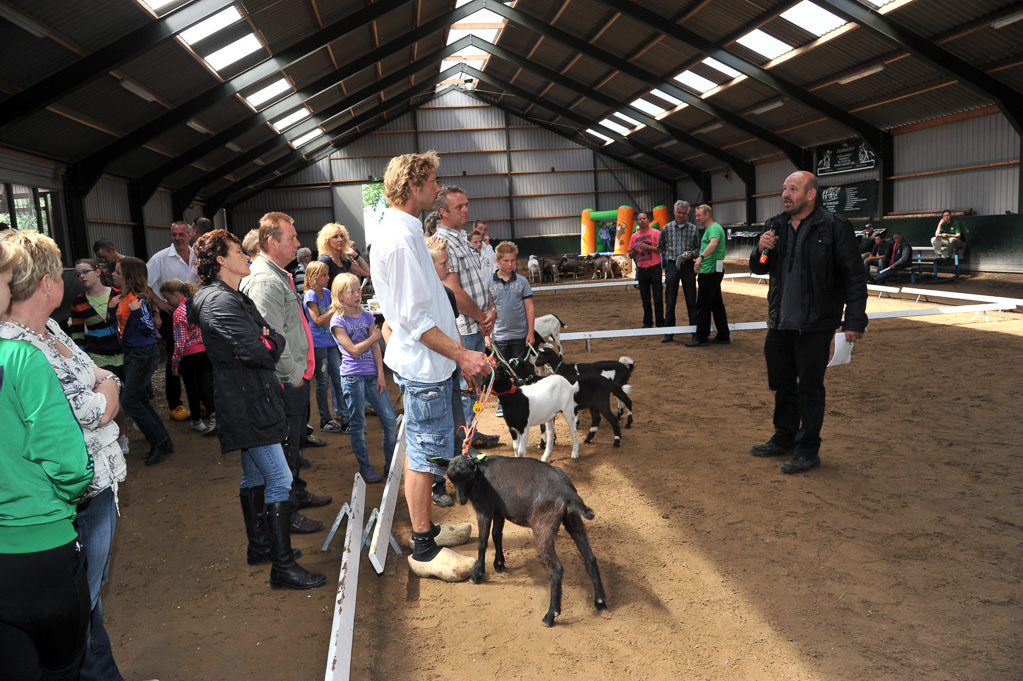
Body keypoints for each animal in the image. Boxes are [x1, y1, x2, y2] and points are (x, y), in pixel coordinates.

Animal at [433, 449, 605, 625]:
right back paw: (600, 601)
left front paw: (477, 573)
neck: (480, 474)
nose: (461, 500)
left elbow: (482, 542)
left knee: (555, 567)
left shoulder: (484, 510)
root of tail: (566, 491)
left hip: (543, 525)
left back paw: (551, 614)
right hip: (572, 519)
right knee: (590, 557)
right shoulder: (499, 511)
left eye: (468, 476)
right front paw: (499, 563)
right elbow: (497, 535)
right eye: (451, 477)